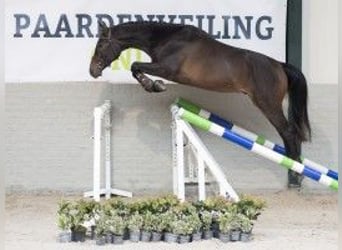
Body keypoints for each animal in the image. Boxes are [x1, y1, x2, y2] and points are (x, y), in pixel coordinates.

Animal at [89, 21, 312, 188]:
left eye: (101, 45)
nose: (92, 71)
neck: (166, 39)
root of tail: (279, 66)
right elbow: (135, 68)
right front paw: (153, 85)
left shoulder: (167, 69)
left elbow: (135, 66)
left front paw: (154, 85)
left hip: (268, 104)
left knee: (288, 132)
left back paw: (296, 174)